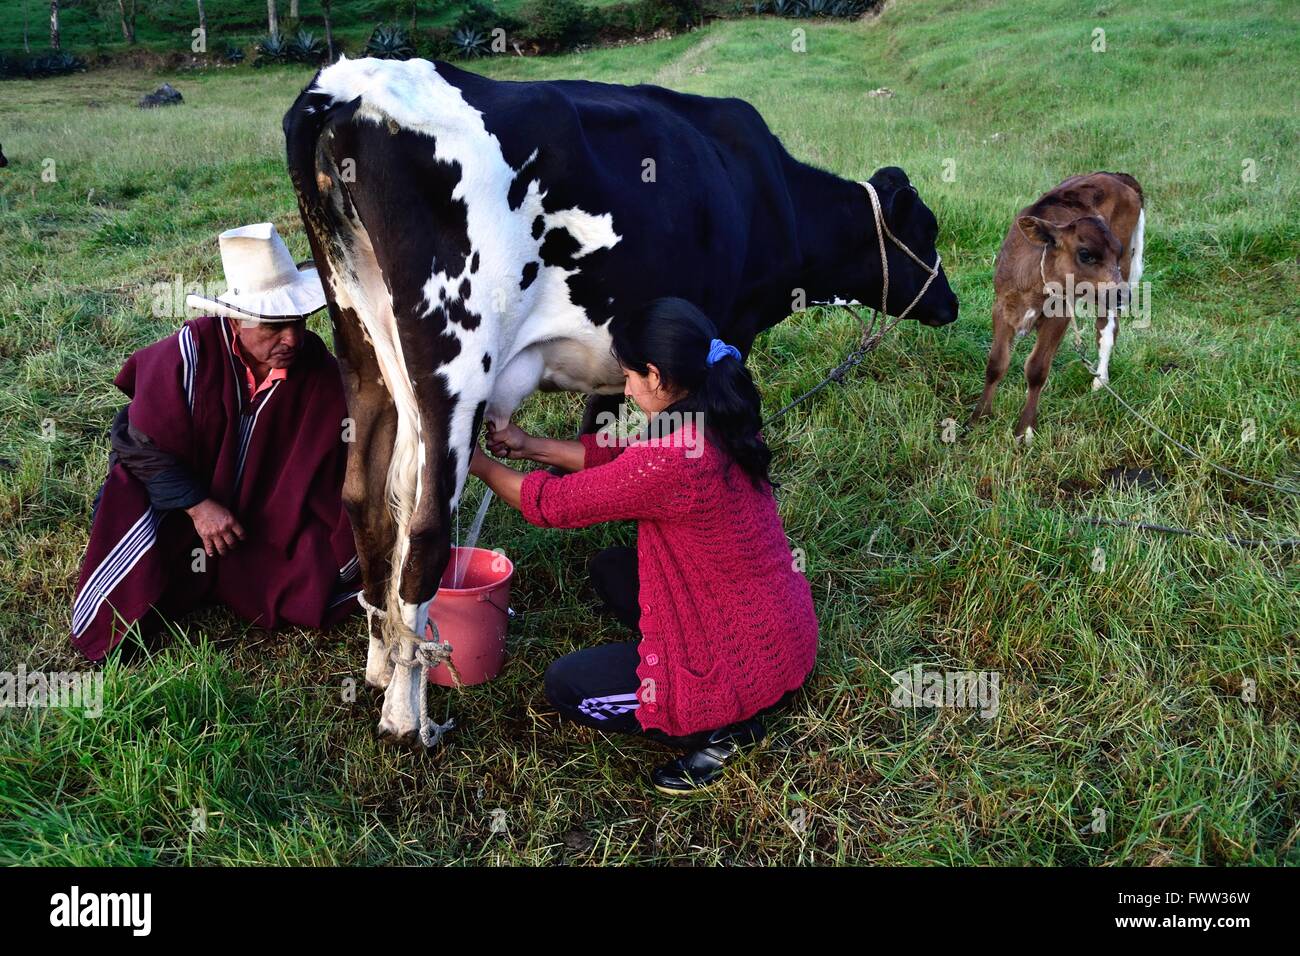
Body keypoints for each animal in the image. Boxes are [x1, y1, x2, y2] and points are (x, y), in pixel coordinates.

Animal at [282, 55, 956, 743]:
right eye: (927, 228)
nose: (950, 303)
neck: (770, 192)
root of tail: (348, 86)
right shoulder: (728, 326)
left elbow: (598, 444)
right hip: (453, 362)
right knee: (423, 531)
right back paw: (406, 715)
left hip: (362, 348)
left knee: (364, 499)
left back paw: (379, 664)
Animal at [972, 172, 1144, 442]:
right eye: (1085, 254)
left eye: (1116, 253)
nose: (1123, 294)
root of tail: (1116, 176)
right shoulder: (1001, 307)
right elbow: (996, 363)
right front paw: (979, 418)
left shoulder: (1060, 314)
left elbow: (1036, 369)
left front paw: (1025, 431)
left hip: (1116, 281)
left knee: (1106, 329)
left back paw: (1100, 381)